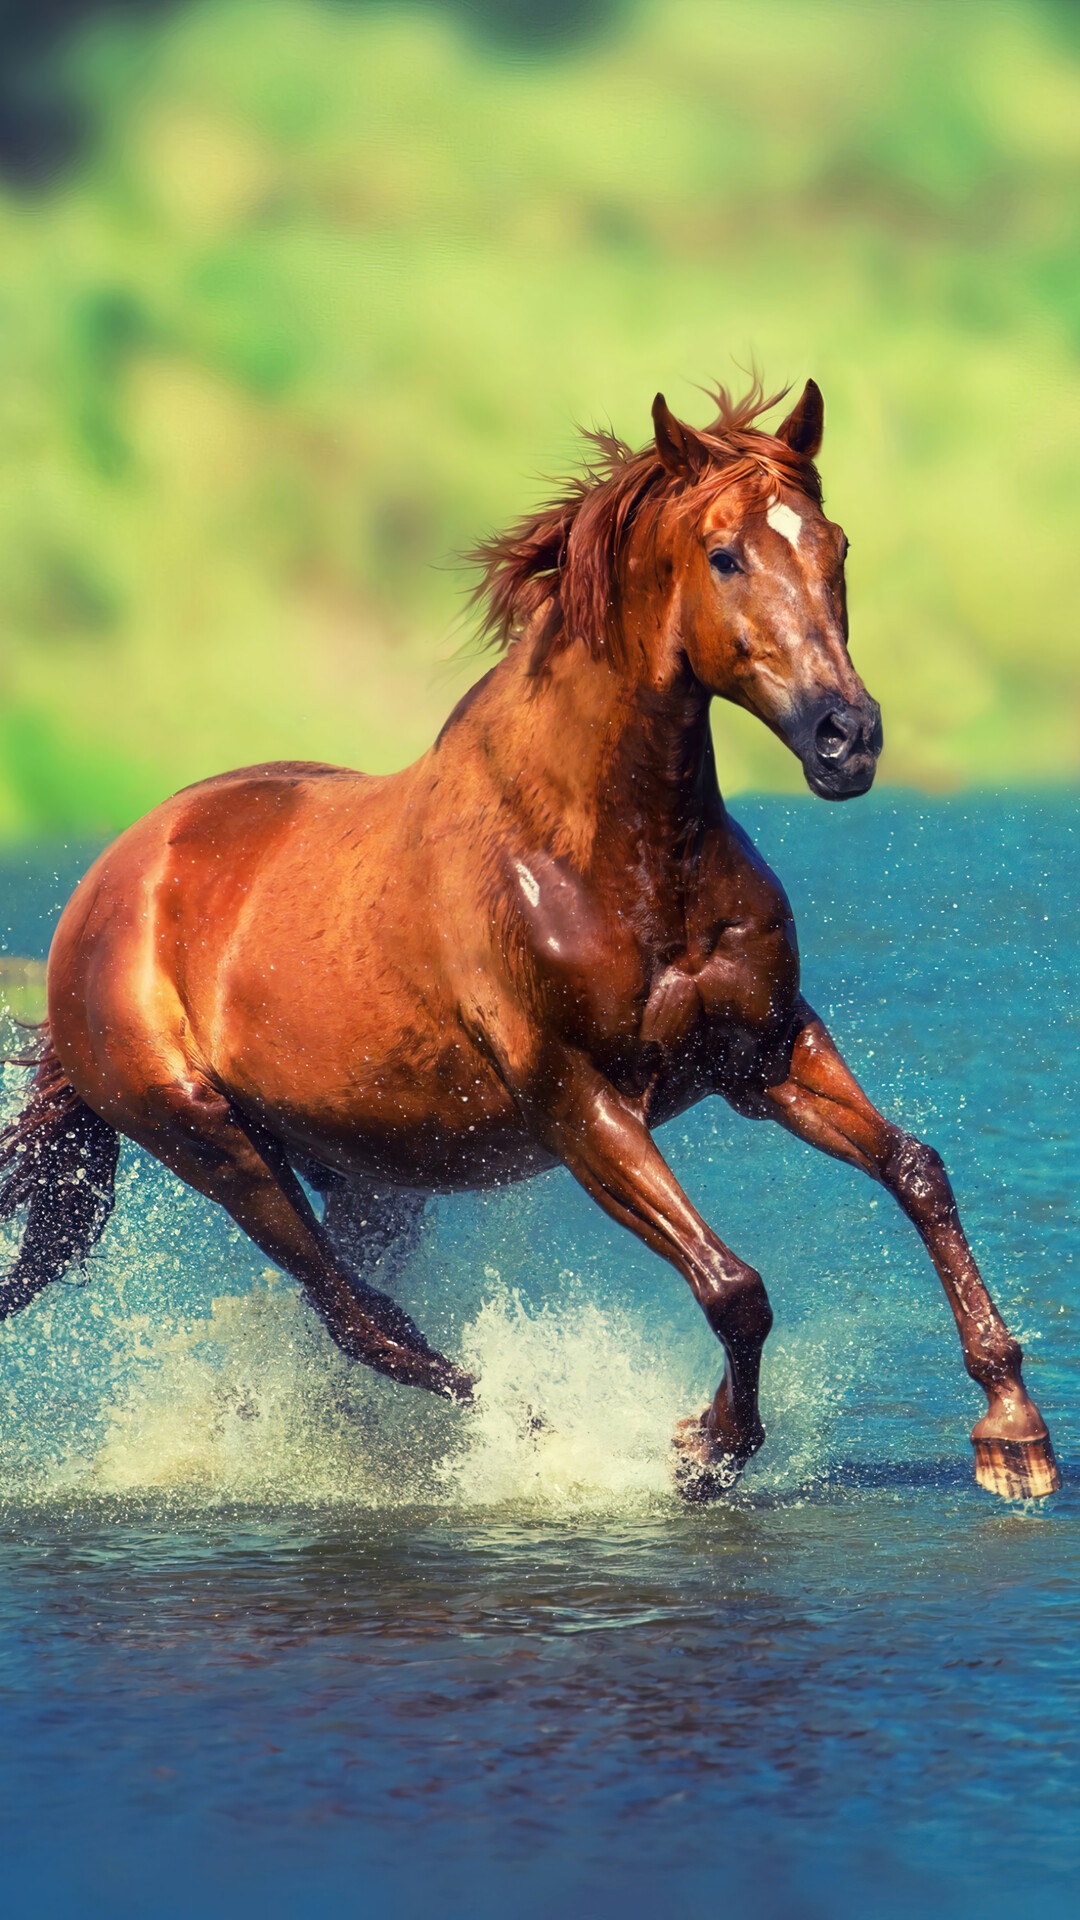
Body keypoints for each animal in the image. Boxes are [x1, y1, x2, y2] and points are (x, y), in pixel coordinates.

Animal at [0, 379, 1059, 1502]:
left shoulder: (764, 1052)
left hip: (370, 1171)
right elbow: (733, 1286)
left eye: (835, 544)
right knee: (360, 1319)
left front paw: (1013, 1434)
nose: (846, 737)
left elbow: (916, 1170)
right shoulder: (578, 1100)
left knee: (342, 1319)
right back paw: (540, 1438)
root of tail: (108, 890)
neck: (609, 853)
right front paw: (703, 1445)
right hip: (212, 1141)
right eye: (724, 554)